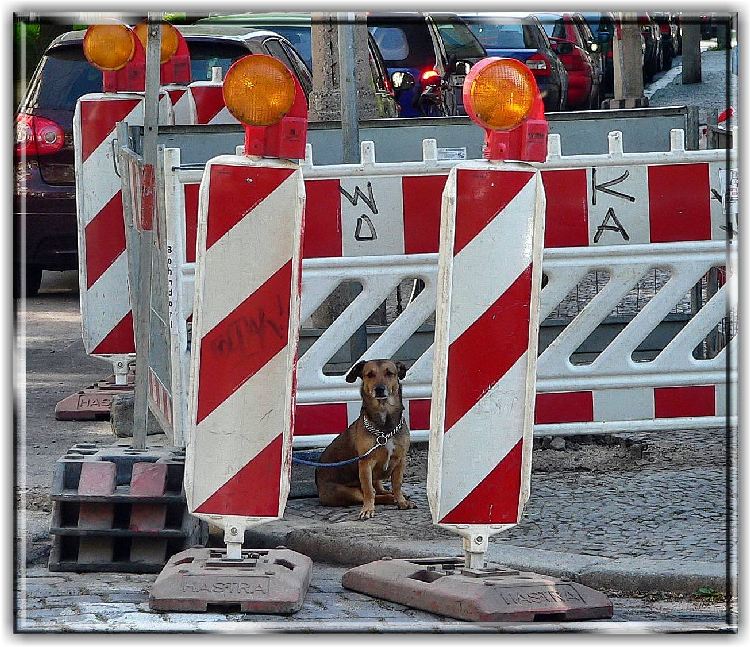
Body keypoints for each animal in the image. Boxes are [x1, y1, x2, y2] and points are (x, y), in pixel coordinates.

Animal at [312, 360, 414, 520]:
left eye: (389, 373)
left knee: (380, 490)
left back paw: (393, 495)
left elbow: (397, 484)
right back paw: (388, 498)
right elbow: (368, 490)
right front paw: (368, 509)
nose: (379, 389)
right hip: (346, 491)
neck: (384, 428)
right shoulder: (366, 464)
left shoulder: (400, 460)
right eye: (369, 374)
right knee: (372, 494)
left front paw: (401, 501)